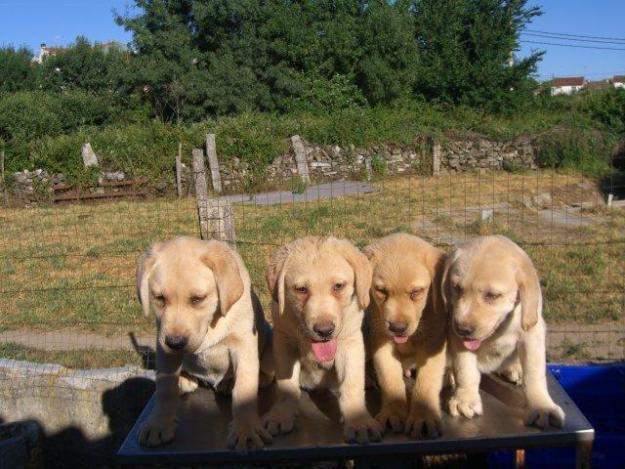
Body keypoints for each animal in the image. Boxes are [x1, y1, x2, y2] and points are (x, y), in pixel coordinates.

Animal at [136, 238, 272, 450]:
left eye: (197, 299)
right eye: (159, 298)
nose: (175, 343)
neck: (211, 324)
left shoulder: (243, 343)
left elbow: (244, 387)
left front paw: (246, 429)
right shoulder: (164, 347)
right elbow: (165, 388)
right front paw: (159, 423)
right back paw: (185, 379)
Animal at [258, 236, 380, 444]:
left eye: (338, 286)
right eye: (301, 289)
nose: (324, 331)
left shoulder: (350, 342)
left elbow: (352, 383)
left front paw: (358, 422)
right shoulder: (284, 341)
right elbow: (286, 386)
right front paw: (281, 414)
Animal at [442, 234, 564, 428]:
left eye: (492, 296)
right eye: (457, 288)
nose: (462, 329)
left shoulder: (532, 334)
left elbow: (534, 374)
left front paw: (542, 406)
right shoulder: (456, 337)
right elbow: (465, 369)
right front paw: (465, 399)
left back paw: (514, 368)